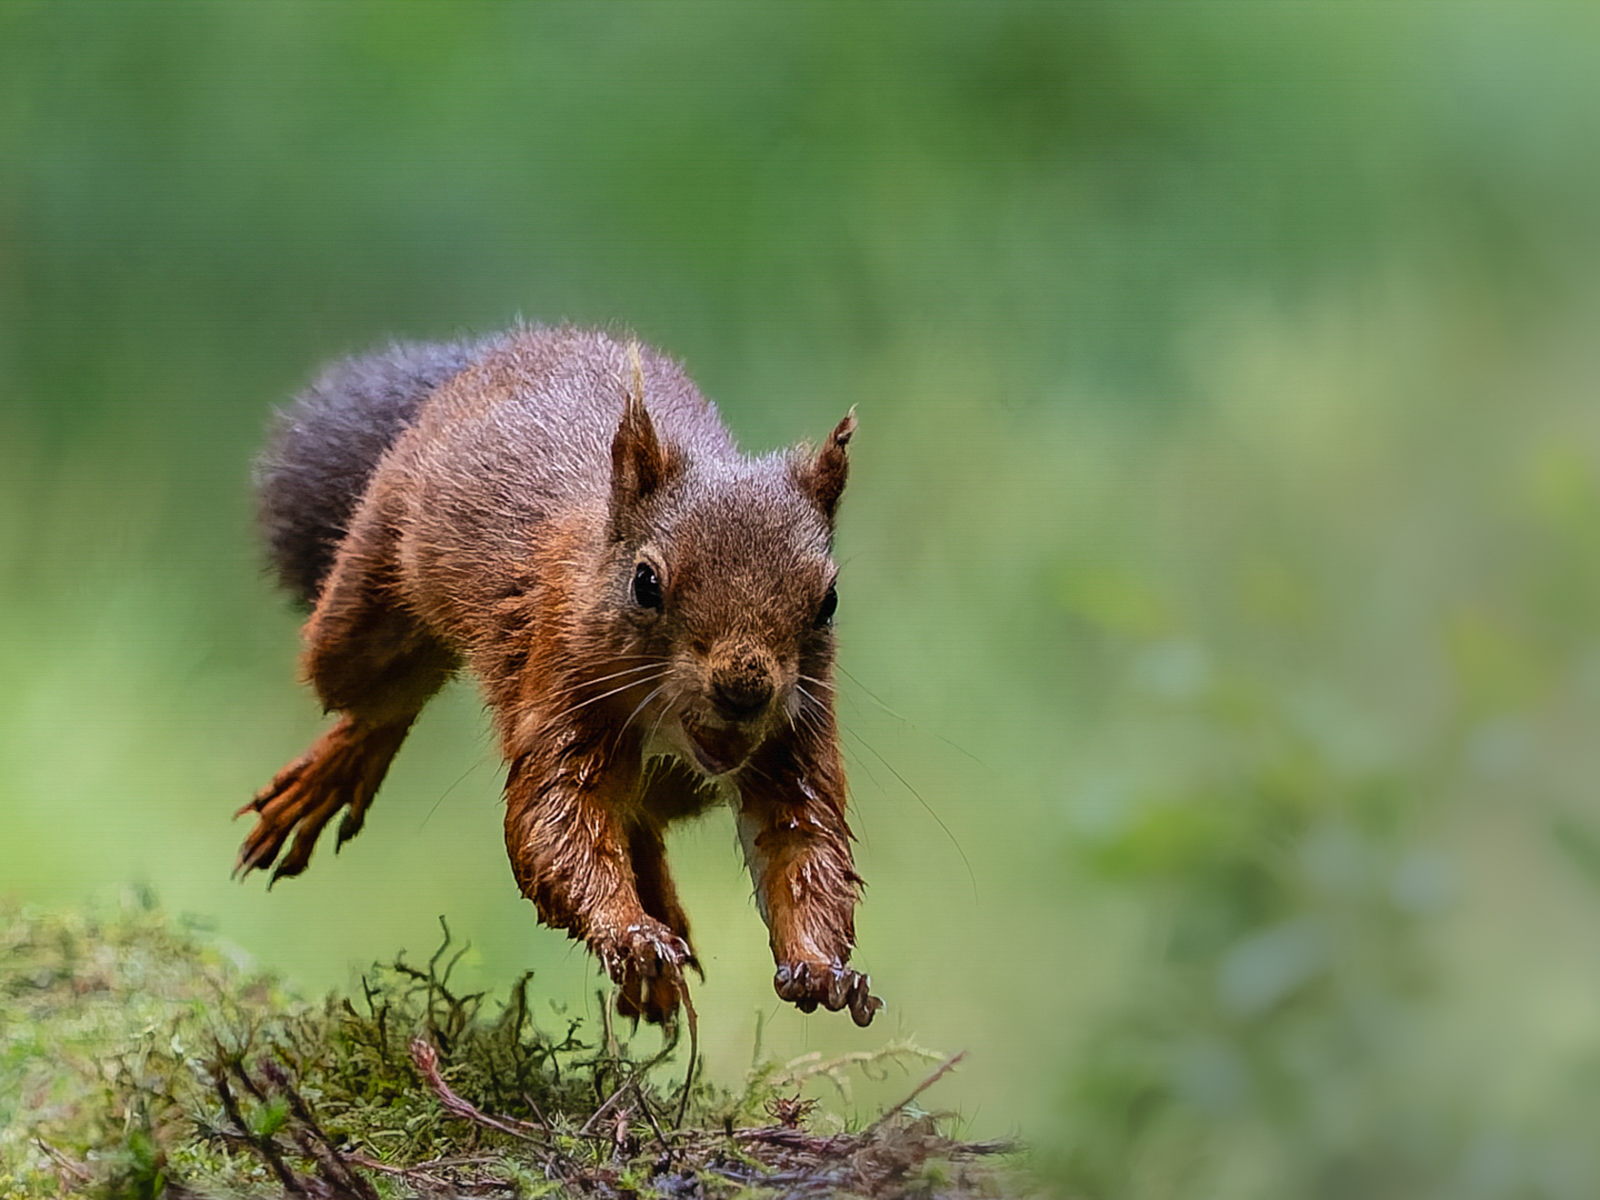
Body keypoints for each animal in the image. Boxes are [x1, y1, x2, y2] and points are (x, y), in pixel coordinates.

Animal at [236, 326, 882, 1027]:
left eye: (829, 602)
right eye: (646, 582)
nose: (744, 690)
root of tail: (495, 352)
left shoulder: (796, 729)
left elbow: (805, 841)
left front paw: (822, 967)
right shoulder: (563, 681)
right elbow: (556, 819)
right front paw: (633, 933)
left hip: (681, 787)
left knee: (639, 817)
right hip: (365, 606)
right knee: (383, 693)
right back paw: (339, 765)